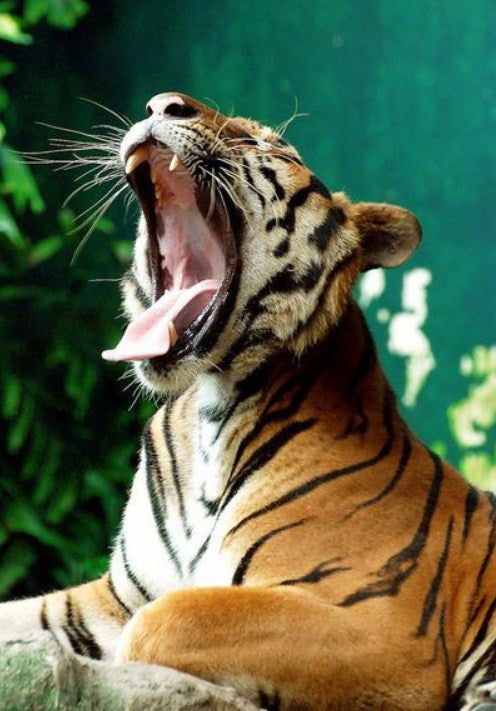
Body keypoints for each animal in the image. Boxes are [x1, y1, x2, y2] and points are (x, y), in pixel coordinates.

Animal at [0, 92, 495, 711]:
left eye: (262, 142)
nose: (162, 103)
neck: (209, 416)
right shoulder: (117, 595)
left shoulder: (384, 633)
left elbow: (166, 622)